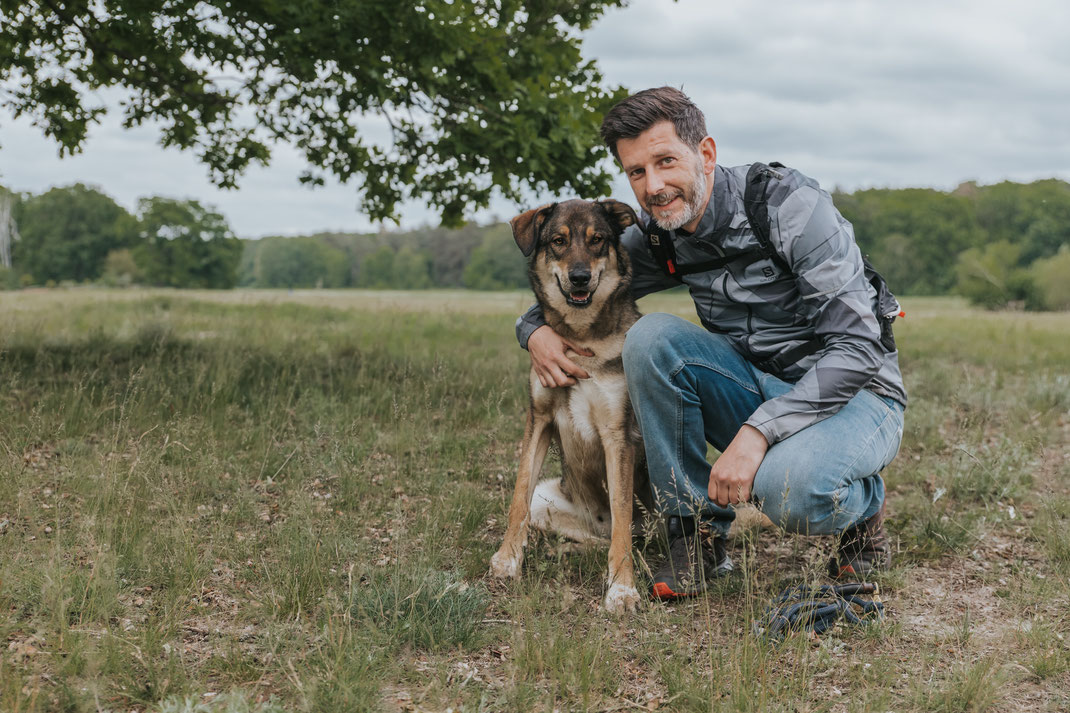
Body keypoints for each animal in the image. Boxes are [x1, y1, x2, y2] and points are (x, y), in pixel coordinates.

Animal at [490, 198, 646, 612]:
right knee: (590, 538)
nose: (579, 277)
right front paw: (507, 560)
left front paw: (622, 588)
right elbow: (517, 497)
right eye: (558, 241)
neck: (579, 338)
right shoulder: (539, 418)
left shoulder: (617, 436)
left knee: (624, 535)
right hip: (549, 499)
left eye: (597, 240)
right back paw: (563, 550)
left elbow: (622, 522)